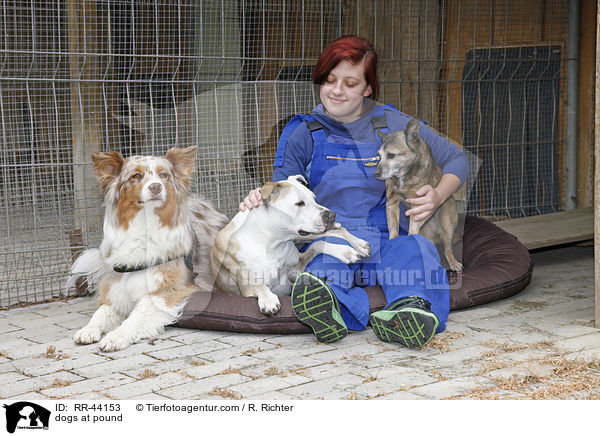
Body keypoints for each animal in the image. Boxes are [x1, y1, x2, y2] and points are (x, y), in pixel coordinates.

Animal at [211, 175, 370, 316]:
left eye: (314, 198)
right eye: (299, 203)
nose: (331, 215)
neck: (272, 243)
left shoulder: (296, 266)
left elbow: (317, 245)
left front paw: (345, 252)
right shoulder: (247, 288)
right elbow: (258, 285)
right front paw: (268, 299)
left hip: (305, 234)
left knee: (337, 231)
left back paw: (359, 245)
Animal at [372, 117, 462, 270]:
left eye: (391, 155)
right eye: (379, 156)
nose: (375, 174)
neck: (403, 176)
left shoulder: (419, 205)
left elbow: (412, 228)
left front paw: (409, 238)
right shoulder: (392, 203)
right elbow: (393, 227)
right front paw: (393, 241)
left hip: (447, 224)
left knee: (447, 248)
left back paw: (453, 262)